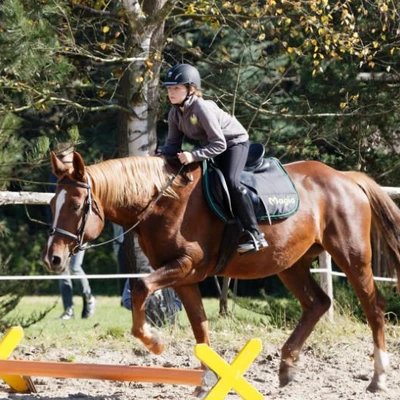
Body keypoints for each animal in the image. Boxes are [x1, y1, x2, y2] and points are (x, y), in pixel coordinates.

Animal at [43, 152, 400, 392]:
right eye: (50, 205)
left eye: (76, 206)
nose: (54, 259)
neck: (161, 202)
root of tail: (346, 177)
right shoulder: (184, 277)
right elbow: (199, 327)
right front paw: (208, 379)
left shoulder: (186, 265)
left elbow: (142, 287)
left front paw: (154, 343)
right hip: (290, 263)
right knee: (318, 304)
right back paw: (287, 366)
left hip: (351, 256)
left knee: (373, 307)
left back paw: (379, 376)